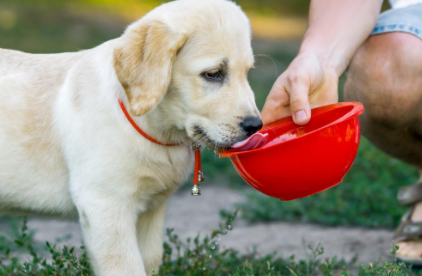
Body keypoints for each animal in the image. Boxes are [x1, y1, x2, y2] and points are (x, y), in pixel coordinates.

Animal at [0, 0, 260, 274]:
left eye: (247, 72)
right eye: (213, 73)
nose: (255, 125)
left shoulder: (153, 209)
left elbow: (150, 261)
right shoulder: (105, 206)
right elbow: (127, 266)